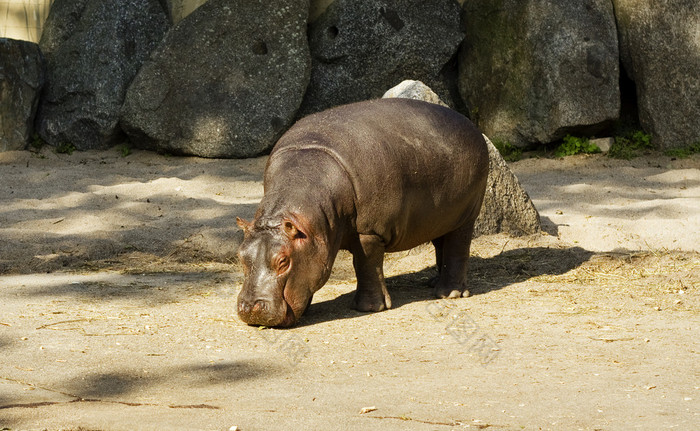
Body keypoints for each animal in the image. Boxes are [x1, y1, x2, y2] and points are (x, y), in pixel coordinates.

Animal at [235, 98, 486, 328]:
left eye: (283, 261)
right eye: (240, 255)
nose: (249, 308)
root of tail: (469, 123)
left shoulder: (370, 232)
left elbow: (366, 265)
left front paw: (370, 308)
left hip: (466, 215)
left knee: (457, 247)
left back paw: (449, 293)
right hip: (440, 219)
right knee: (441, 243)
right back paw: (433, 282)